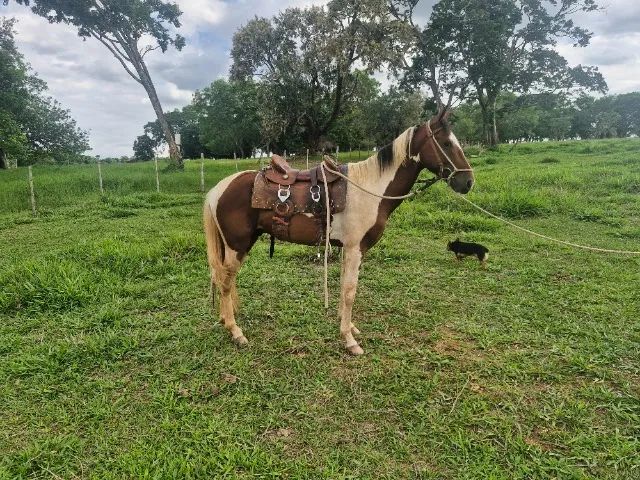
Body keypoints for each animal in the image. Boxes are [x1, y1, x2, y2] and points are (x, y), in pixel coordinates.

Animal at [203, 109, 474, 355]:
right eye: (447, 143)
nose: (468, 182)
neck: (369, 188)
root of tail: (218, 189)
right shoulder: (356, 249)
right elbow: (350, 291)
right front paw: (349, 340)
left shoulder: (349, 250)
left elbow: (345, 288)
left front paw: (349, 327)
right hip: (237, 246)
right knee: (225, 282)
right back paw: (236, 332)